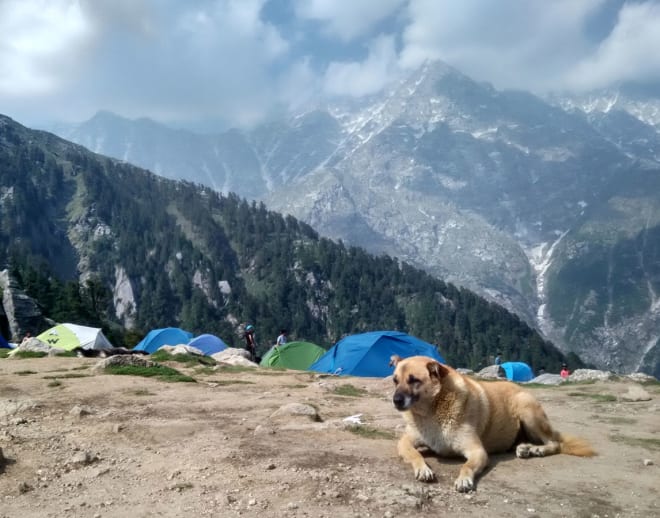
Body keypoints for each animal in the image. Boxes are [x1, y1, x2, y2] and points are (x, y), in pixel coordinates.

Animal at [390, 356, 596, 494]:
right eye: (395, 380)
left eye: (414, 380)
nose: (395, 400)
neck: (432, 411)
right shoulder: (405, 442)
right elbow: (415, 454)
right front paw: (423, 468)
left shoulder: (477, 451)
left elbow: (467, 466)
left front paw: (464, 479)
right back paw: (526, 448)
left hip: (527, 409)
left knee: (554, 443)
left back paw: (536, 450)